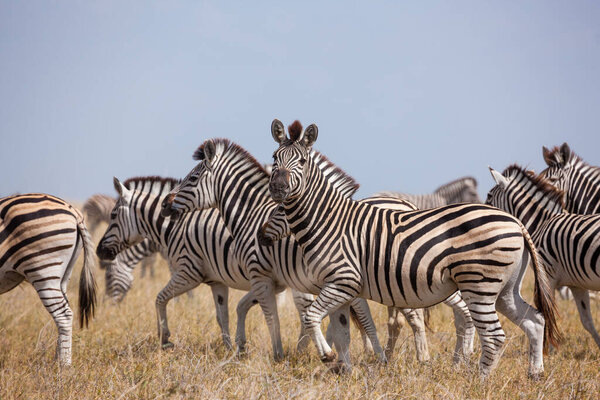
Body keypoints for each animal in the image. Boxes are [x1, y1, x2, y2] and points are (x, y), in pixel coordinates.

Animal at [0, 194, 96, 366]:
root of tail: (74, 211)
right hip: (63, 276)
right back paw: (57, 362)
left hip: (43, 271)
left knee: (63, 315)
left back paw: (63, 366)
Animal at [260, 119, 560, 378]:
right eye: (275, 158)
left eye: (301, 161)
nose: (278, 187)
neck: (328, 220)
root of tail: (516, 222)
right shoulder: (337, 288)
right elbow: (342, 333)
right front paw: (345, 372)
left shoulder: (344, 281)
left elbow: (312, 316)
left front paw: (327, 357)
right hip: (505, 288)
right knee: (534, 320)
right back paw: (535, 373)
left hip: (480, 284)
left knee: (495, 336)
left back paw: (479, 381)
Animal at [488, 165, 600, 346]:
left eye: (489, 196)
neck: (541, 223)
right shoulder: (577, 284)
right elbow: (587, 321)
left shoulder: (547, 277)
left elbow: (547, 315)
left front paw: (546, 348)